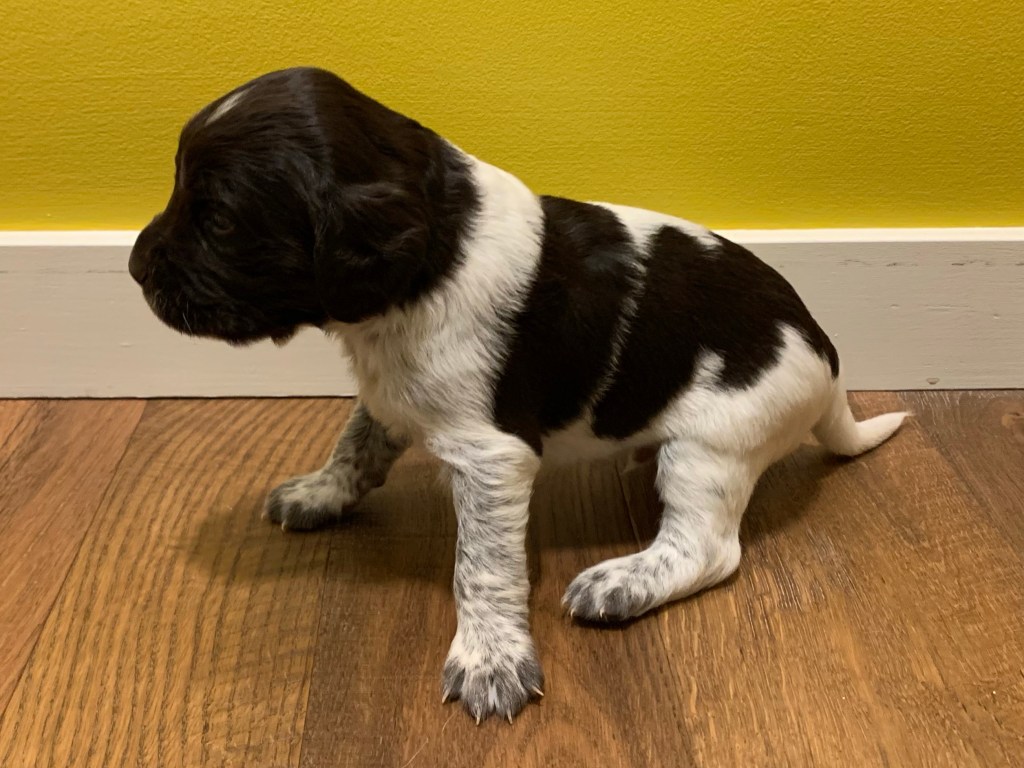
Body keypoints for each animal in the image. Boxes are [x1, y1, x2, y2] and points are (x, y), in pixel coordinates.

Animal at [129, 67, 906, 723]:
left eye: (220, 222)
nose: (134, 266)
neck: (436, 255)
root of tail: (825, 354)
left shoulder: (491, 457)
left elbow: (481, 566)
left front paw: (490, 661)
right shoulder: (393, 388)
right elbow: (357, 441)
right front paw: (321, 492)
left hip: (713, 445)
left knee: (708, 548)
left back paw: (620, 583)